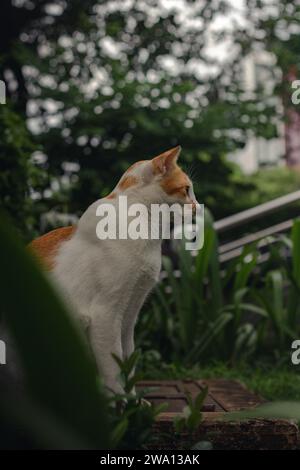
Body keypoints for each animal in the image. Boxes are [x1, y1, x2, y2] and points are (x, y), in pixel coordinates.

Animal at [29, 146, 197, 392]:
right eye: (186, 190)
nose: (198, 208)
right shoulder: (105, 314)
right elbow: (113, 371)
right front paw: (120, 401)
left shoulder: (129, 314)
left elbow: (128, 362)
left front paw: (133, 399)